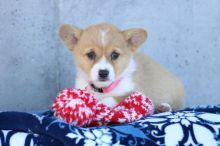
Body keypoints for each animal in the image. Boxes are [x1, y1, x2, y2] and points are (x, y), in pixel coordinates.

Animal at [58, 23, 186, 112]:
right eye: (91, 54)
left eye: (115, 55)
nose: (103, 73)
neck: (103, 88)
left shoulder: (134, 92)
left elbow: (111, 99)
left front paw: (99, 104)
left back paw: (164, 107)